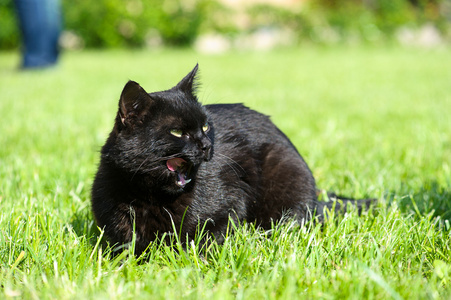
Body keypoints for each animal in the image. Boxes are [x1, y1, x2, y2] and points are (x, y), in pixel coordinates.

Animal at [92, 64, 374, 254]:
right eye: (177, 132)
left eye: (206, 126)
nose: (206, 145)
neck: (150, 195)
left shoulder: (231, 201)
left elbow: (205, 238)